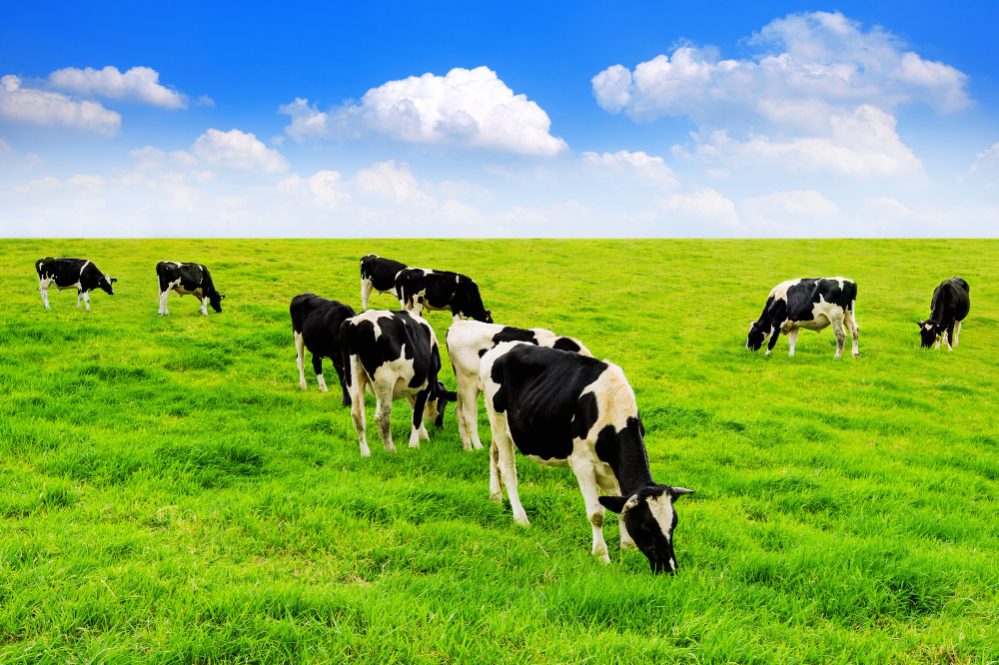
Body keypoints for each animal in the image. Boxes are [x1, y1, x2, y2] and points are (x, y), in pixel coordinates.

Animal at [341, 310, 457, 457]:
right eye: (444, 402)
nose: (440, 426)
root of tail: (355, 322)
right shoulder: (426, 385)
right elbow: (417, 414)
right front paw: (414, 444)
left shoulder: (409, 387)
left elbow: (414, 409)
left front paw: (424, 436)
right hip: (384, 380)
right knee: (382, 417)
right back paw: (391, 450)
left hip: (353, 376)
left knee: (357, 414)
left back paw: (366, 454)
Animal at [446, 319, 592, 451]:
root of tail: (456, 326)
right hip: (468, 382)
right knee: (469, 416)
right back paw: (478, 447)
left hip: (464, 385)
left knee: (459, 412)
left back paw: (467, 447)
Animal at [480, 342, 694, 573]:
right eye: (646, 526)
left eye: (673, 524)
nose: (669, 569)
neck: (611, 409)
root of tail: (504, 346)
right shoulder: (582, 464)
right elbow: (597, 514)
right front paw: (601, 556)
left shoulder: (612, 468)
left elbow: (620, 506)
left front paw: (627, 547)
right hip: (497, 418)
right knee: (507, 467)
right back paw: (520, 517)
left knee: (493, 454)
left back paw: (495, 497)